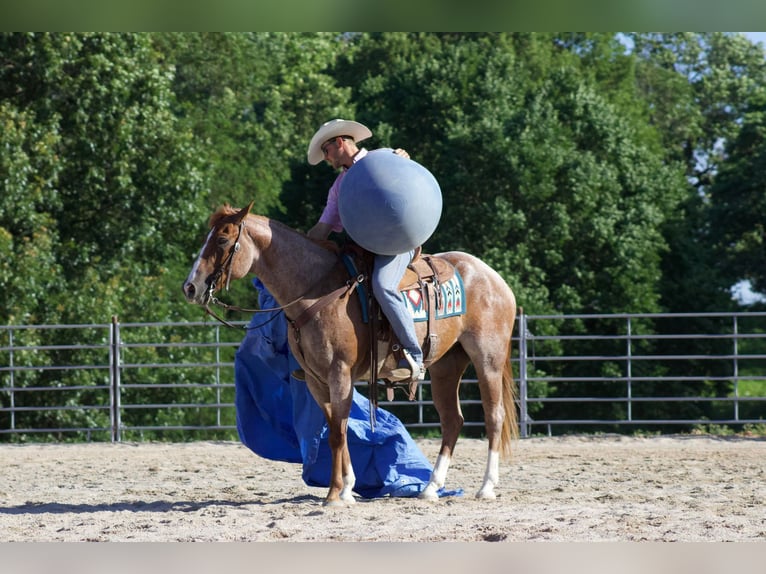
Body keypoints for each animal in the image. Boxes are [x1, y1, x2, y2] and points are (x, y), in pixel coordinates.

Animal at [182, 202, 518, 506]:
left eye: (222, 239)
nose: (190, 287)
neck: (316, 292)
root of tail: (493, 277)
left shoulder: (339, 373)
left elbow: (337, 433)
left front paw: (333, 495)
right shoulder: (317, 381)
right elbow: (336, 429)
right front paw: (346, 489)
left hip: (487, 359)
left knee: (494, 416)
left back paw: (486, 488)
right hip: (446, 367)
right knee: (452, 421)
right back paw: (430, 488)